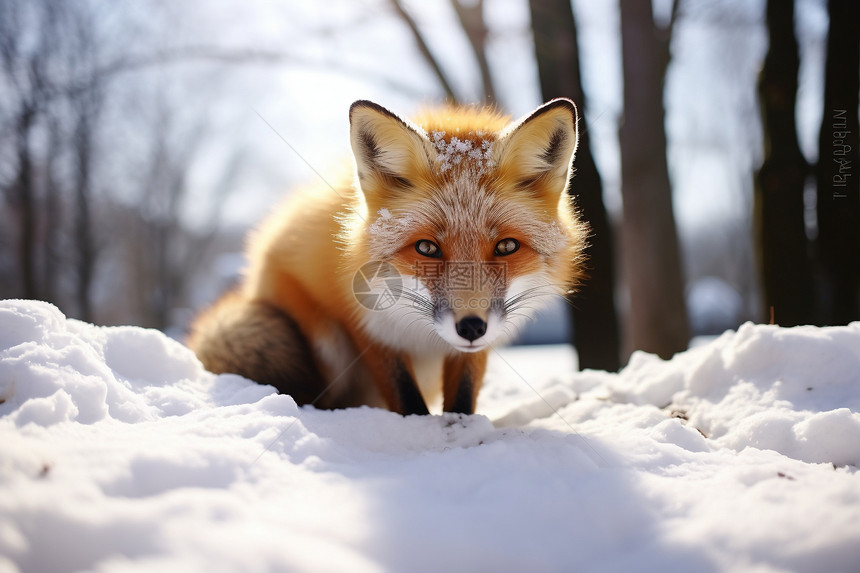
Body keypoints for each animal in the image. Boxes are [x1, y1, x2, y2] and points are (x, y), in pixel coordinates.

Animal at [188, 96, 588, 414]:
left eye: (506, 247)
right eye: (426, 248)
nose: (472, 327)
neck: (423, 332)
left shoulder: (477, 345)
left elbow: (462, 397)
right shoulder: (368, 325)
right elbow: (406, 397)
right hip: (324, 342)